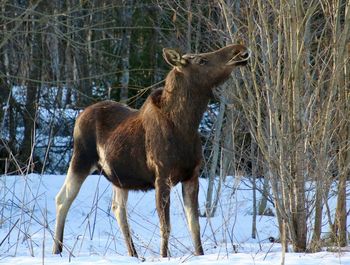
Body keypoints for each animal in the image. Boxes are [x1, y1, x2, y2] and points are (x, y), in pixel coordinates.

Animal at [52, 43, 250, 256]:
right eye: (201, 60)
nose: (239, 49)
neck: (186, 126)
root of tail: (79, 117)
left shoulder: (192, 175)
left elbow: (194, 225)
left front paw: (200, 255)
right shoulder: (162, 176)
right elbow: (166, 227)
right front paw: (165, 256)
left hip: (119, 178)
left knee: (118, 209)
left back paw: (134, 254)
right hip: (81, 158)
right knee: (63, 198)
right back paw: (57, 250)